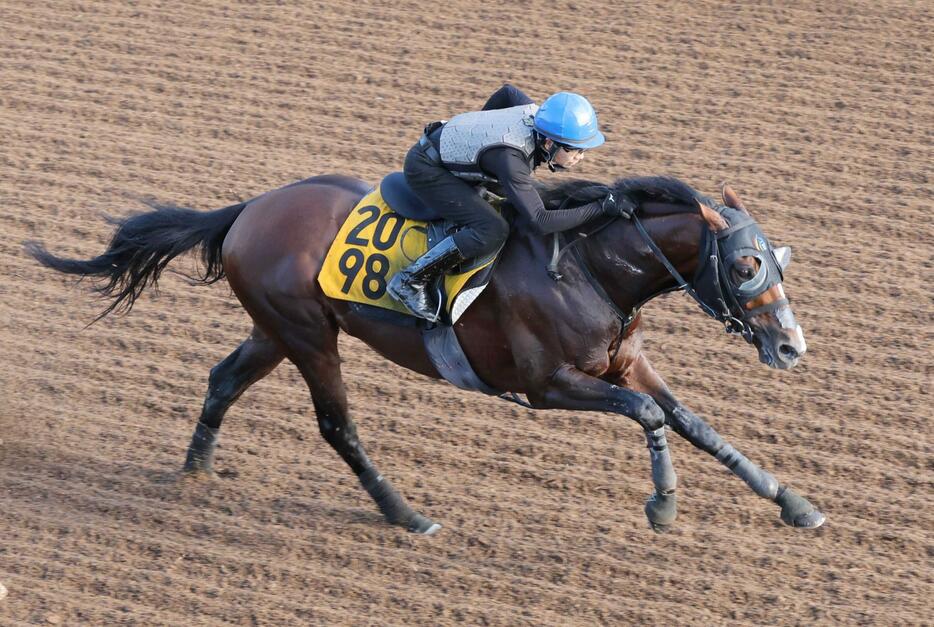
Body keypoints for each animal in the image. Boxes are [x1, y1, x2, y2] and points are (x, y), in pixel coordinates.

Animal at [23, 173, 828, 536]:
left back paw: (195, 470)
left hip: (275, 330)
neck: (587, 266)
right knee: (336, 426)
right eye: (747, 264)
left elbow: (694, 422)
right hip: (309, 337)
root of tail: (248, 208)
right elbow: (649, 417)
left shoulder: (622, 363)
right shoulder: (547, 385)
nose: (791, 346)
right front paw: (663, 503)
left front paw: (794, 501)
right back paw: (405, 513)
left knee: (223, 379)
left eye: (780, 258)